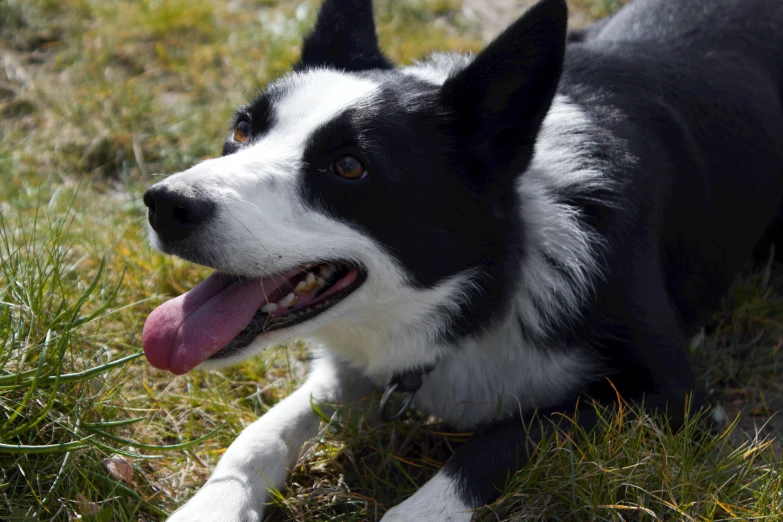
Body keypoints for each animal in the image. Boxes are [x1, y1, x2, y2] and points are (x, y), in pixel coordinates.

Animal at [141, 1, 783, 516]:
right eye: (242, 131)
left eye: (349, 167)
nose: (165, 204)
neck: (489, 280)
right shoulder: (352, 370)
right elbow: (260, 434)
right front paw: (212, 507)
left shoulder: (677, 400)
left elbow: (504, 438)